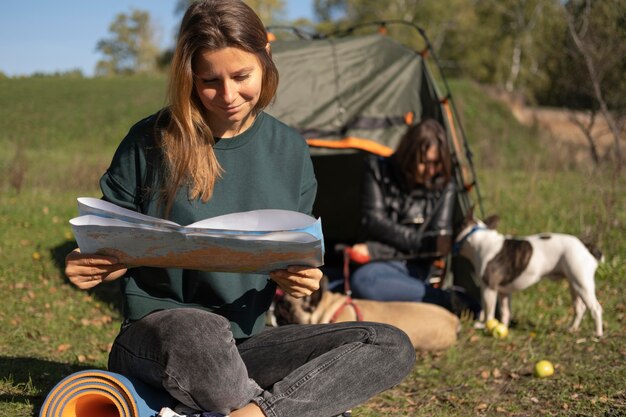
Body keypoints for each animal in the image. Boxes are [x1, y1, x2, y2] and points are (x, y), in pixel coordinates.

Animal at [454, 210, 600, 336]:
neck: (480, 240)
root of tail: (585, 245)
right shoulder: (503, 292)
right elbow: (505, 311)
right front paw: (502, 326)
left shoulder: (489, 288)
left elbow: (488, 309)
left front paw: (485, 326)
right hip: (573, 284)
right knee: (579, 308)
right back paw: (572, 328)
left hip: (582, 284)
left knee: (595, 308)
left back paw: (597, 334)